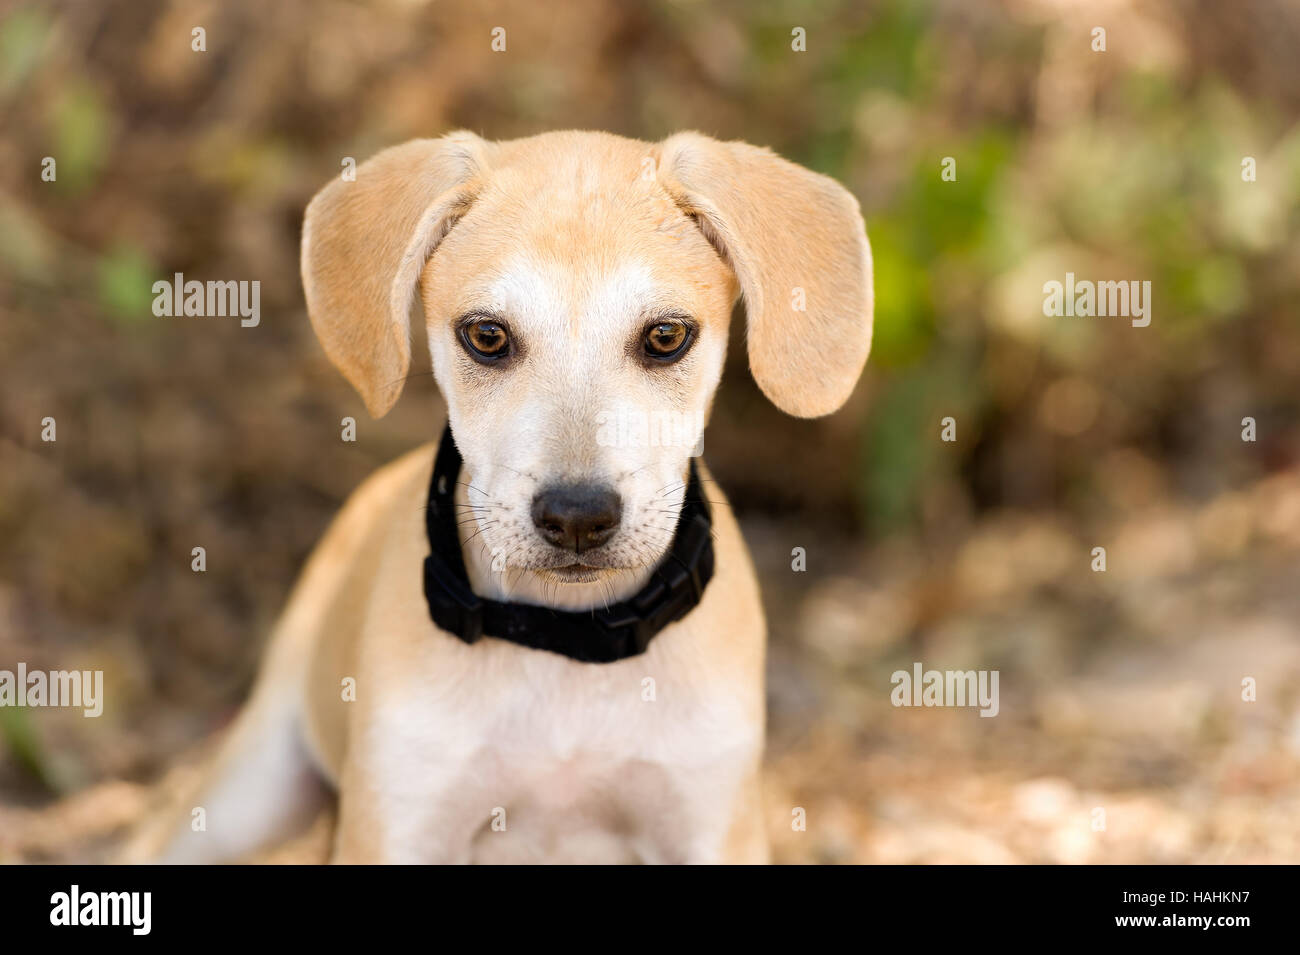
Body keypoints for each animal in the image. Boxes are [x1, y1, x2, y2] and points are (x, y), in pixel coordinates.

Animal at [131, 132, 873, 867]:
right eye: (487, 336)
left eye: (666, 336)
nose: (577, 519)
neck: (565, 643)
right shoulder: (401, 822)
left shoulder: (710, 824)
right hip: (244, 794)